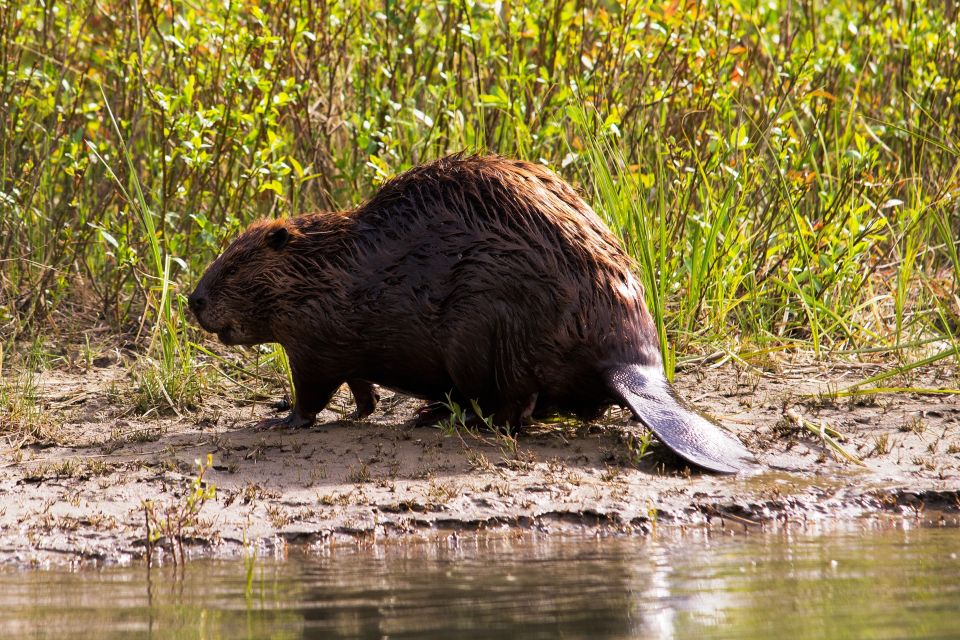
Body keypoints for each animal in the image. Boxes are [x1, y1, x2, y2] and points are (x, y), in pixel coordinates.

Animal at [189, 154, 756, 472]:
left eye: (234, 265)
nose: (193, 301)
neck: (329, 267)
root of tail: (633, 367)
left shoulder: (315, 339)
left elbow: (312, 391)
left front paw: (279, 419)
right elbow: (359, 388)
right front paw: (360, 409)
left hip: (484, 328)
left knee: (514, 407)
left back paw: (438, 416)